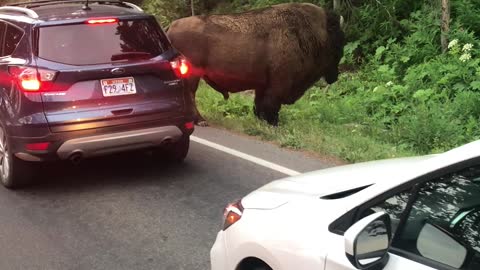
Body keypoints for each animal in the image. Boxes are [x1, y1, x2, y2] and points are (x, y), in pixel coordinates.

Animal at [167, 2, 344, 126]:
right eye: (337, 41)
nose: (335, 76)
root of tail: (170, 29)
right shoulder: (277, 85)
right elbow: (270, 106)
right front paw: (273, 124)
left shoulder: (263, 86)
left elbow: (259, 104)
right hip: (192, 75)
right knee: (190, 95)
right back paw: (201, 120)